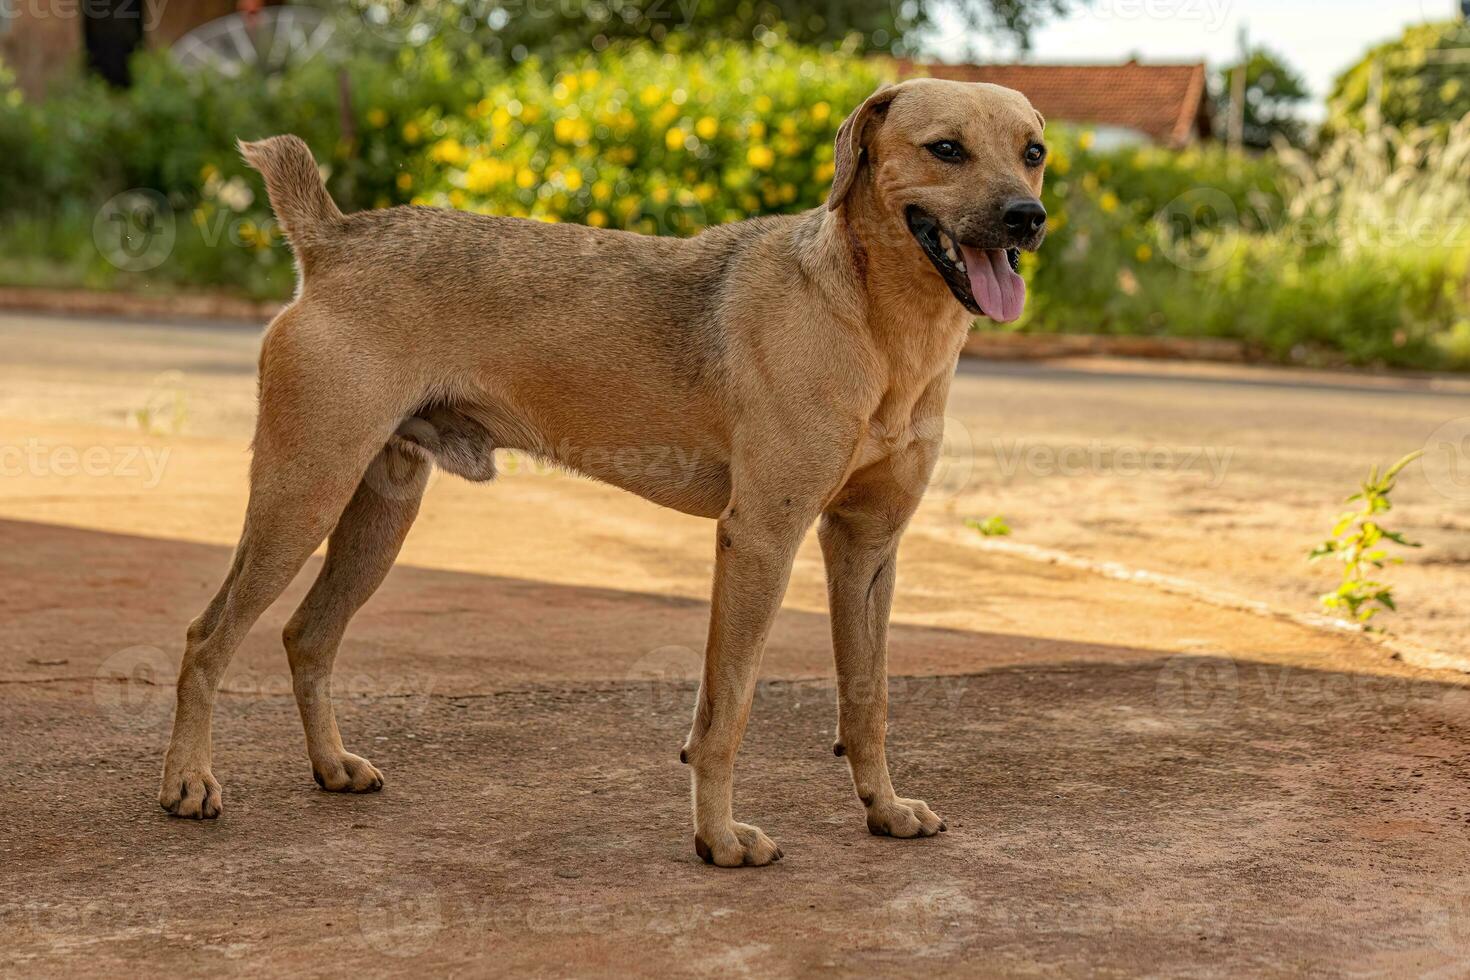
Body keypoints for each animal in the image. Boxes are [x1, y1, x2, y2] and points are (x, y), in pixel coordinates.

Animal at [163, 78, 1046, 875]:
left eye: (1033, 153)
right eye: (945, 149)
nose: (1026, 218)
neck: (874, 321)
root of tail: (335, 238)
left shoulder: (866, 548)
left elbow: (868, 699)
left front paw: (884, 808)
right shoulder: (761, 539)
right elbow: (727, 710)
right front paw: (719, 839)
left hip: (378, 517)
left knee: (306, 635)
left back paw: (331, 767)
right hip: (301, 496)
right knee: (208, 636)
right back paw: (189, 782)